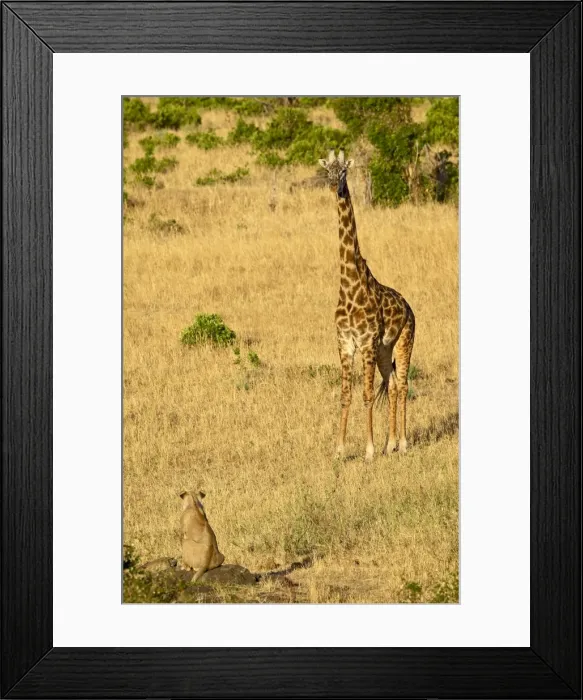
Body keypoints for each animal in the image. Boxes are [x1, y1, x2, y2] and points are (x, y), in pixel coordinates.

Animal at [318, 150, 416, 461]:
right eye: (327, 171)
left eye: (344, 171)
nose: (335, 187)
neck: (349, 286)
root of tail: (409, 308)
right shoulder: (345, 342)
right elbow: (346, 394)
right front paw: (339, 450)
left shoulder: (366, 342)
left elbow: (368, 394)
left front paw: (369, 451)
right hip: (385, 350)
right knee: (393, 384)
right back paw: (390, 444)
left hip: (404, 341)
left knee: (403, 384)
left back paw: (403, 443)